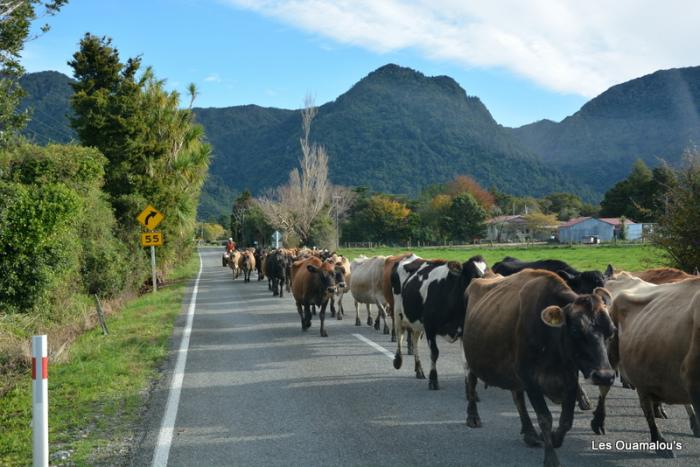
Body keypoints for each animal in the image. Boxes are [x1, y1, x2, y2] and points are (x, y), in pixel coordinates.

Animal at [394, 256, 486, 392]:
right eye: (473, 275)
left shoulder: (462, 330)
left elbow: (465, 360)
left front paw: (469, 386)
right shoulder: (430, 327)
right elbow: (434, 353)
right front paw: (433, 380)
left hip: (417, 322)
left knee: (415, 341)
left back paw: (419, 370)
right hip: (398, 312)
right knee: (399, 334)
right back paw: (398, 361)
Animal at [462, 270, 616, 467]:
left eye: (611, 331)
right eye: (575, 330)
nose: (604, 376)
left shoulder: (570, 378)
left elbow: (566, 420)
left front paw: (554, 438)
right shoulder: (530, 379)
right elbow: (545, 418)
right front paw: (551, 458)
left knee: (517, 398)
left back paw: (529, 433)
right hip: (471, 357)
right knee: (471, 381)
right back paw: (473, 417)